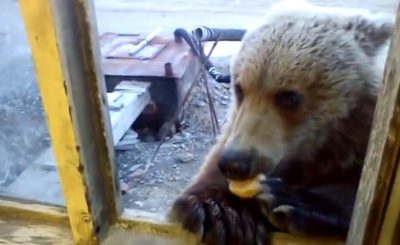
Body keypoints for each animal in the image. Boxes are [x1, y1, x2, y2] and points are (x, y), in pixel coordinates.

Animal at [167, 0, 392, 244]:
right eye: (240, 88)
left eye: (288, 96)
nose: (234, 163)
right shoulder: (236, 125)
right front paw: (222, 212)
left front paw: (291, 200)